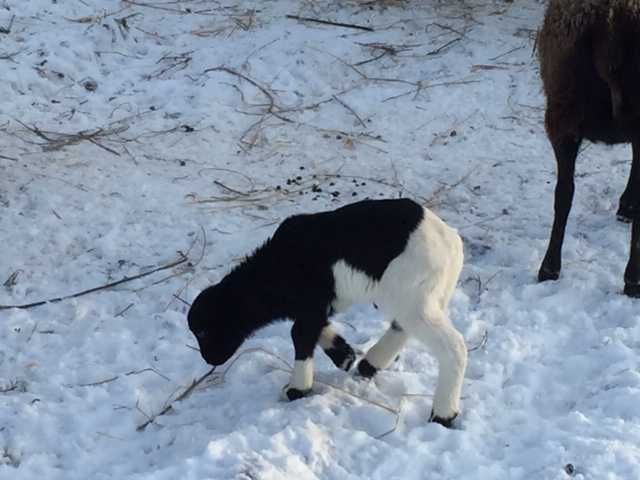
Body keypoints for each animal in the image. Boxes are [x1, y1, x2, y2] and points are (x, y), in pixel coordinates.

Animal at [188, 199, 468, 428]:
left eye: (203, 331)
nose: (209, 360)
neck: (274, 270)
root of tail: (452, 242)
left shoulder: (312, 301)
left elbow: (299, 333)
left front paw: (297, 388)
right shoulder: (317, 304)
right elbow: (312, 328)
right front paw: (344, 355)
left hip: (413, 295)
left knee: (453, 345)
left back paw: (444, 414)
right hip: (417, 296)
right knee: (402, 329)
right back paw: (369, 364)